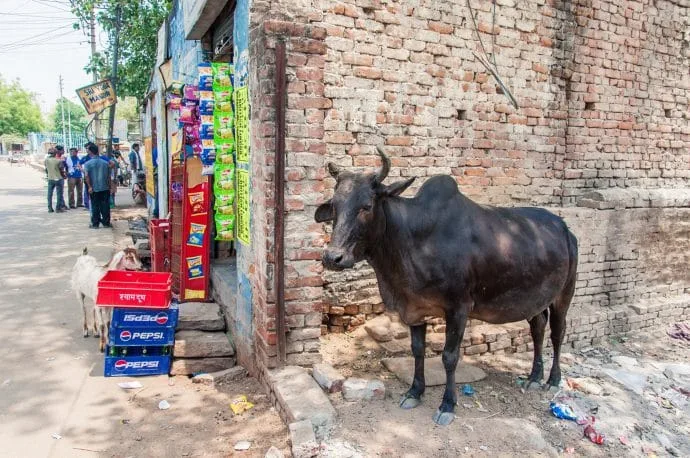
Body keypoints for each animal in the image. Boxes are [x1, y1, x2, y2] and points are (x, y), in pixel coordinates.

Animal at [315, 147, 578, 425]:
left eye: (366, 206)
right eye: (334, 206)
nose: (332, 257)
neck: (412, 240)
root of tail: (565, 228)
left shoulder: (459, 308)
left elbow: (449, 357)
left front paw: (448, 404)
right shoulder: (414, 308)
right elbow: (417, 350)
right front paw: (414, 392)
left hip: (564, 294)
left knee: (557, 332)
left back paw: (552, 379)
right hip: (535, 299)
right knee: (538, 328)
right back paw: (533, 377)